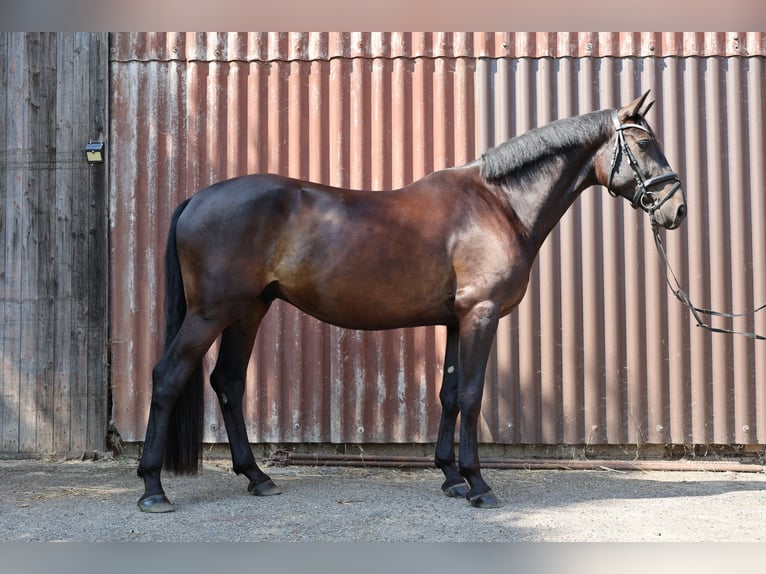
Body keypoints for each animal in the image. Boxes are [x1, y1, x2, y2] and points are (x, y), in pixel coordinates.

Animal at [138, 92, 688, 516]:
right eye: (643, 142)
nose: (677, 209)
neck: (498, 204)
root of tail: (196, 198)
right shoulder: (481, 314)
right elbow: (472, 396)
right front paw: (478, 485)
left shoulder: (455, 320)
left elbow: (449, 394)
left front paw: (450, 478)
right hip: (211, 313)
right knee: (168, 377)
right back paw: (152, 489)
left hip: (250, 309)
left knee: (228, 382)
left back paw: (257, 477)